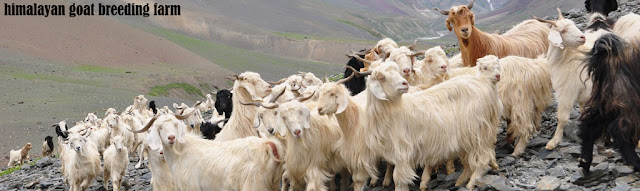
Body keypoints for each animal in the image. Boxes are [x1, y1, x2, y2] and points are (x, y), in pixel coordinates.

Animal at [580, 33, 640, 175]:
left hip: (605, 101)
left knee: (589, 126)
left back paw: (585, 161)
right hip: (626, 98)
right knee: (620, 131)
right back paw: (636, 163)